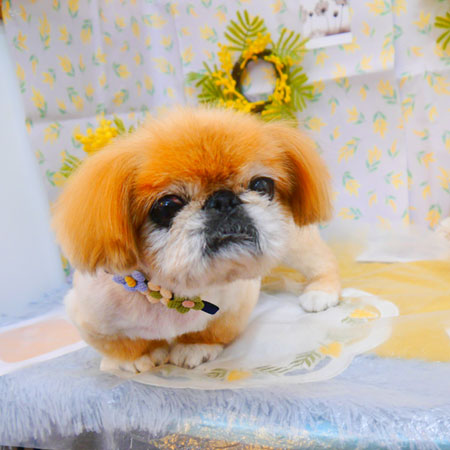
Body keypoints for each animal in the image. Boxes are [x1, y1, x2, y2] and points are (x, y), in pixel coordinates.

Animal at [52, 108, 341, 372]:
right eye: (167, 206)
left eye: (262, 185)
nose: (223, 200)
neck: (174, 292)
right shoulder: (91, 319)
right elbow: (122, 345)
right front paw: (138, 358)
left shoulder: (237, 303)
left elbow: (214, 330)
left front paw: (194, 347)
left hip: (294, 240)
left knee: (323, 262)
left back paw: (320, 292)